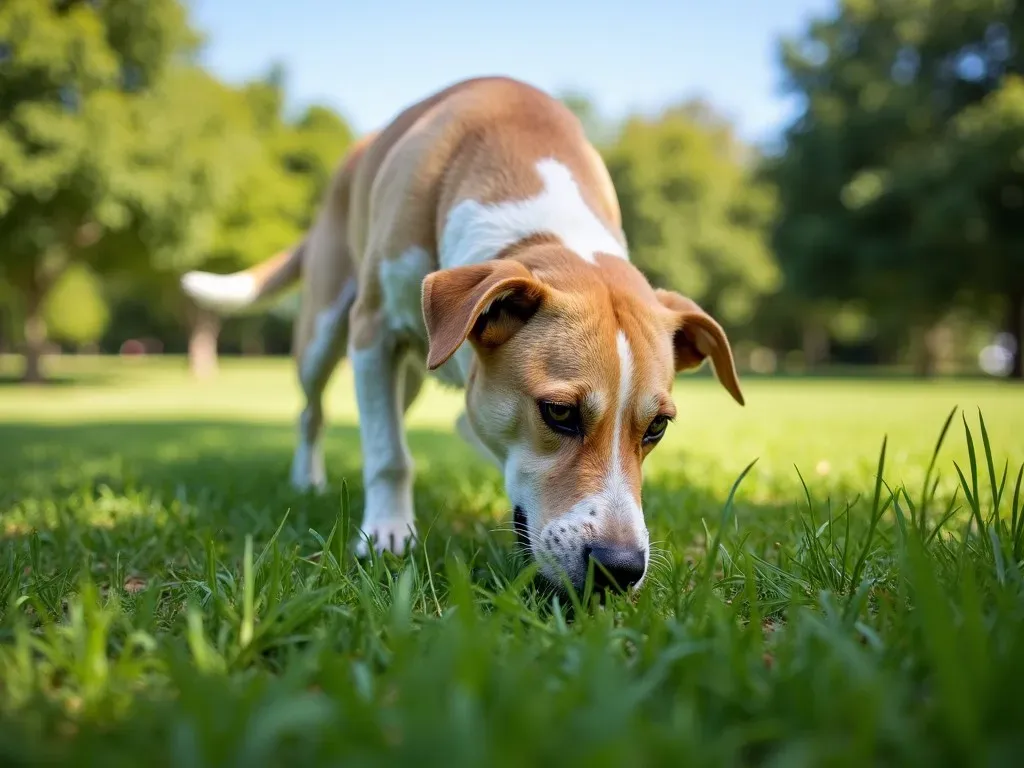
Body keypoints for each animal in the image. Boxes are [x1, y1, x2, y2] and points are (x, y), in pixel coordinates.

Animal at [182, 76, 745, 593]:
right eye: (559, 413)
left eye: (658, 427)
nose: (620, 569)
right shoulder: (374, 333)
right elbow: (388, 455)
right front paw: (386, 534)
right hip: (323, 333)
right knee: (312, 410)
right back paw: (308, 480)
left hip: (407, 377)